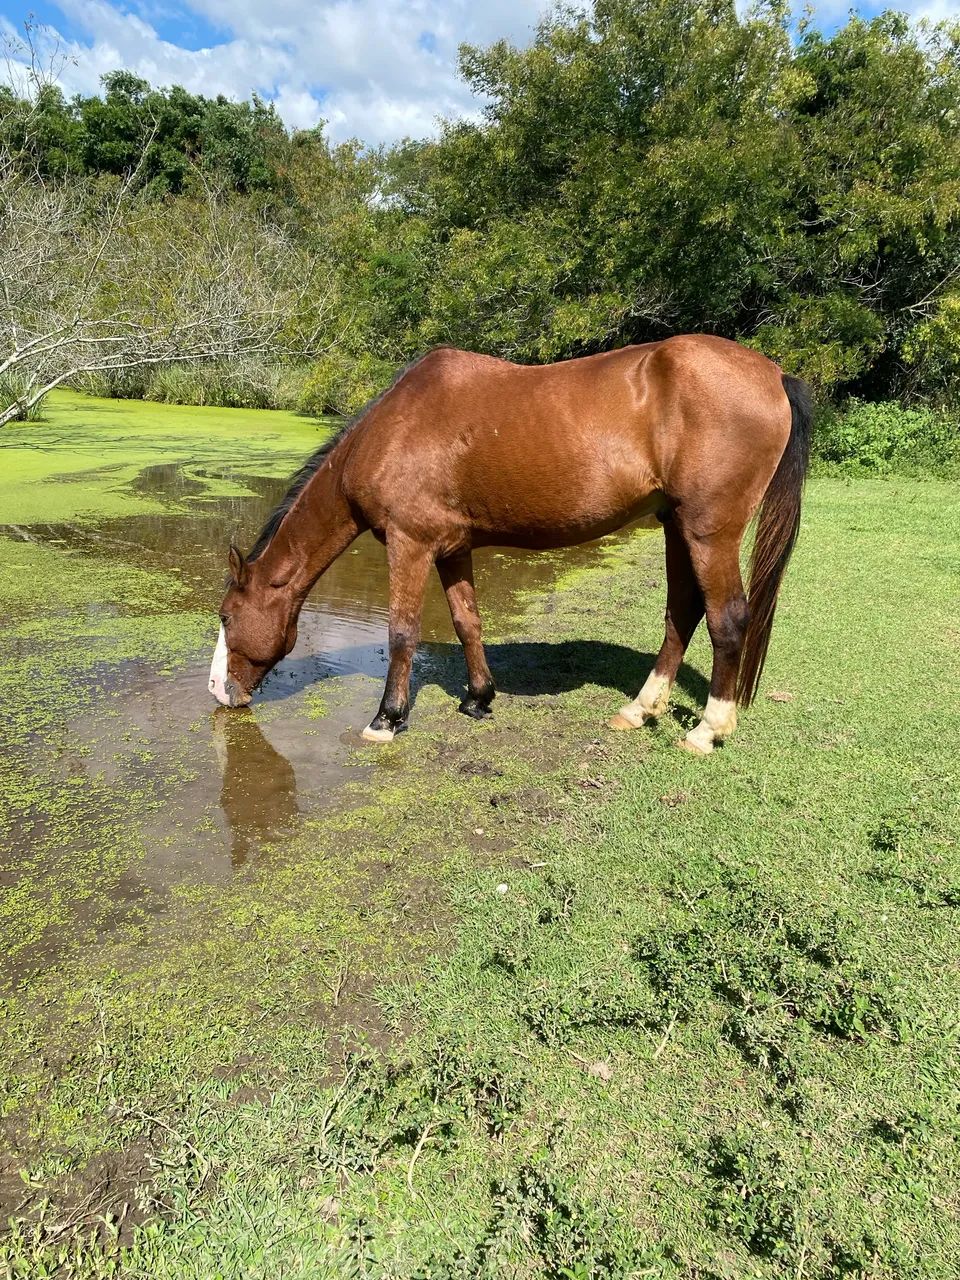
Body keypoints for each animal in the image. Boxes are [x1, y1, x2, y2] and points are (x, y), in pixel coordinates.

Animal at [209, 335, 812, 755]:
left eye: (226, 616)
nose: (219, 691)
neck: (391, 429)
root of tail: (774, 373)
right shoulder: (452, 547)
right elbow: (466, 621)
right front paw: (478, 698)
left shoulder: (409, 543)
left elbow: (402, 632)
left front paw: (387, 719)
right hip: (675, 525)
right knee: (681, 614)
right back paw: (639, 711)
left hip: (709, 531)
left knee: (727, 619)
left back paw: (707, 731)